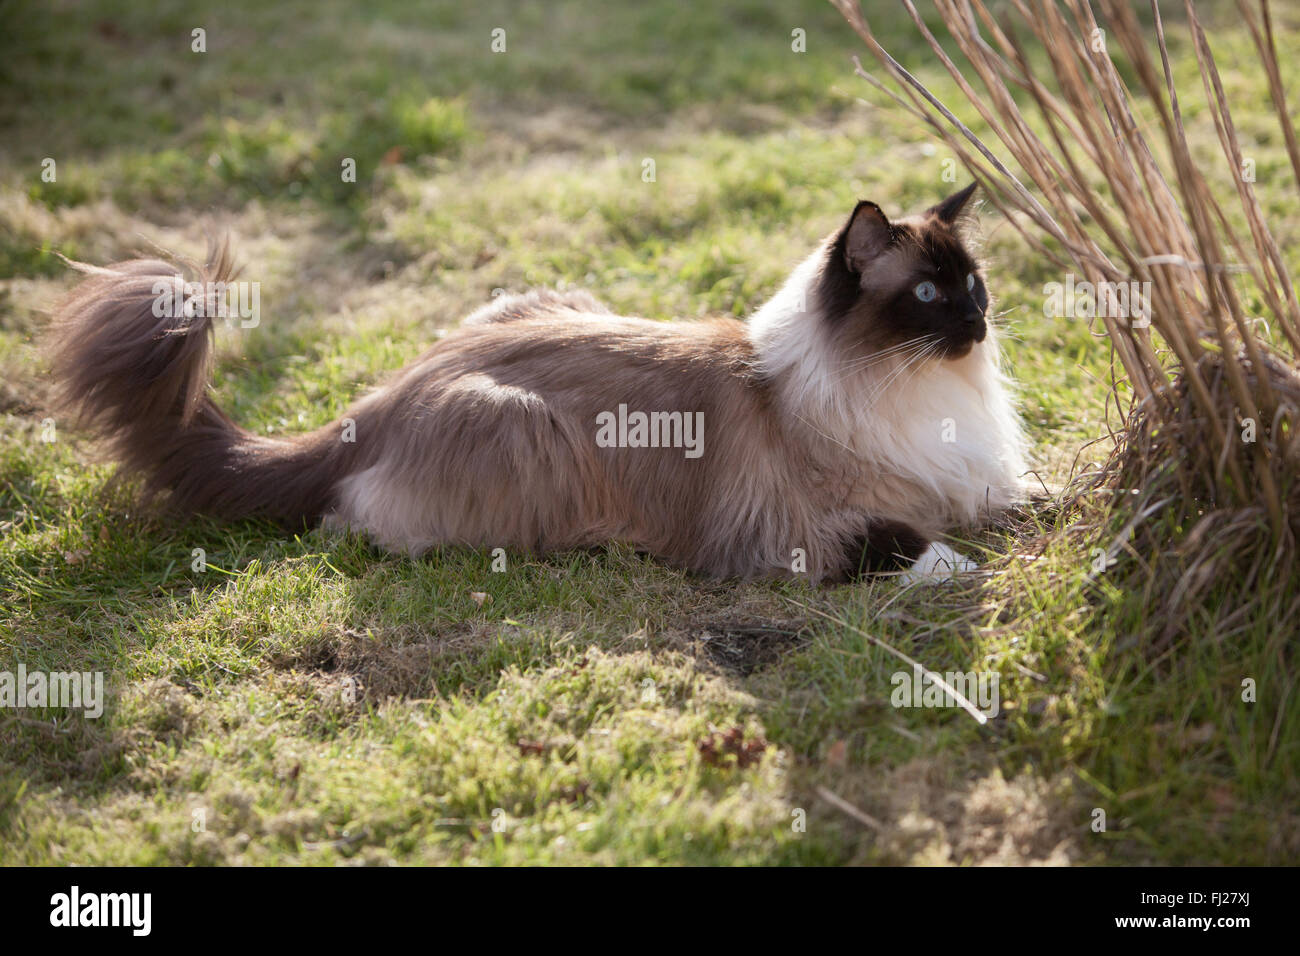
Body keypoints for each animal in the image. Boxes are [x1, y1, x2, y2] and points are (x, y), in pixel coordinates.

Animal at [48, 179, 1024, 582]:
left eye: (973, 286)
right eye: (927, 296)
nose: (978, 325)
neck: (909, 392)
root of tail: (381, 399)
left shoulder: (972, 479)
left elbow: (1023, 502)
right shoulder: (795, 532)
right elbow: (920, 547)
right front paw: (975, 570)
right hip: (525, 427)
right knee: (355, 526)